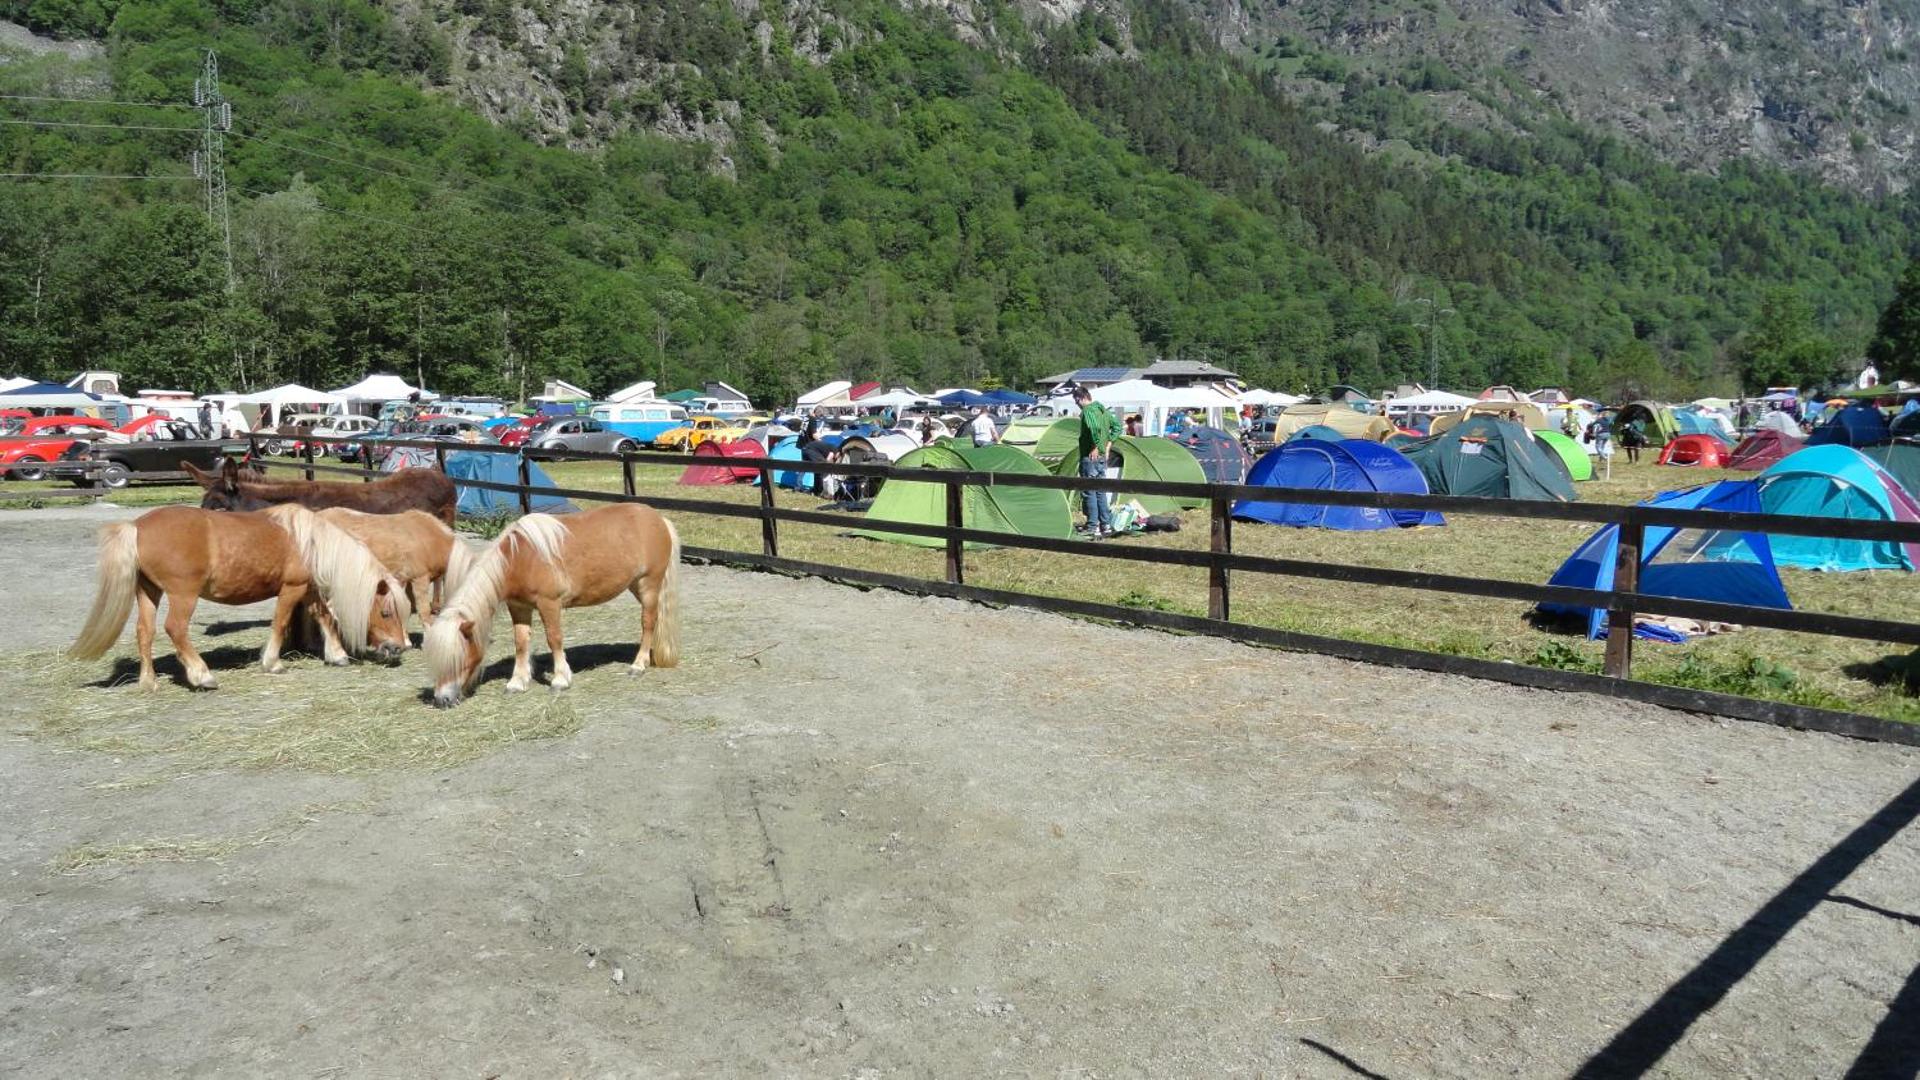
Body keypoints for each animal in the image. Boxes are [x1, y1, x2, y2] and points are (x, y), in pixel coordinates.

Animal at [69, 504, 411, 689]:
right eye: (386, 613)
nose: (399, 647)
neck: (311, 542)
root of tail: (137, 526)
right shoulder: (292, 588)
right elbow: (280, 623)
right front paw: (272, 663)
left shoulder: (310, 589)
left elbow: (325, 618)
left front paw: (337, 655)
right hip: (182, 595)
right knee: (175, 629)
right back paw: (202, 675)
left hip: (148, 591)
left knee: (145, 632)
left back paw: (148, 681)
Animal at [424, 504, 680, 706]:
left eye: (458, 657)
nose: (442, 699)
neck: (520, 559)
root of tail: (659, 519)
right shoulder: (519, 607)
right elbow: (521, 643)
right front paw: (517, 682)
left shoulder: (549, 604)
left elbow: (554, 638)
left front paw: (560, 680)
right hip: (636, 586)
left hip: (649, 585)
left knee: (648, 622)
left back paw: (638, 665)